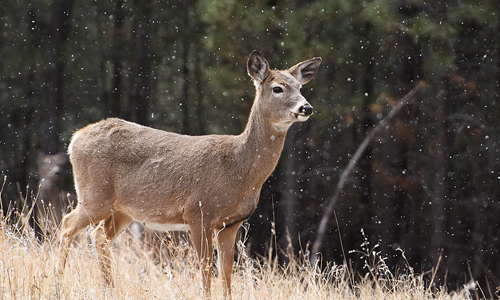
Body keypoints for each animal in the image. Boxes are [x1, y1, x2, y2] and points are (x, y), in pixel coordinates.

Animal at [57, 50, 320, 298]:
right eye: (277, 88)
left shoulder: (231, 224)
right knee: (67, 224)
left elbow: (227, 272)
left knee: (99, 235)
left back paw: (110, 289)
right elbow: (206, 268)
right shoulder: (197, 213)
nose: (306, 107)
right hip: (95, 195)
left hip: (123, 209)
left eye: (300, 87)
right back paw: (59, 282)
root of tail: (75, 138)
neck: (238, 169)